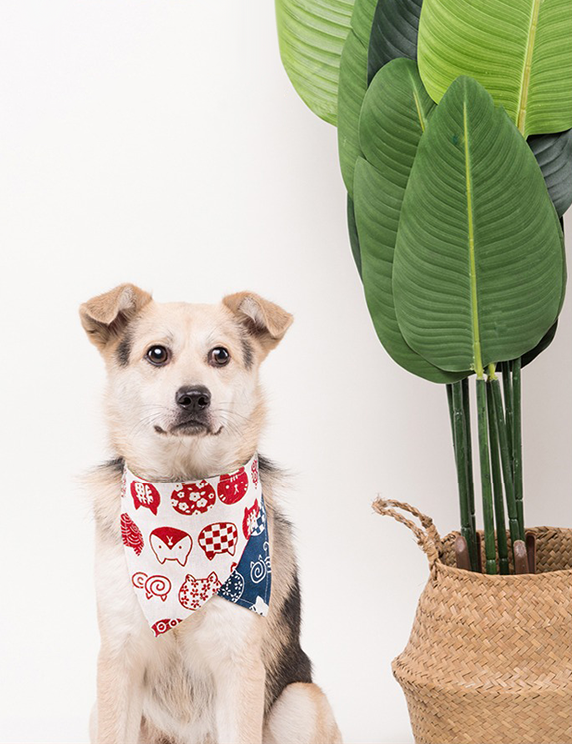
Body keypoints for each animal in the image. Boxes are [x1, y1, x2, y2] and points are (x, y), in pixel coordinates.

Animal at [80, 284, 340, 744]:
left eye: (220, 355)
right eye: (157, 354)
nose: (194, 397)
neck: (186, 490)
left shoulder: (239, 665)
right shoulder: (118, 660)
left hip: (302, 701)